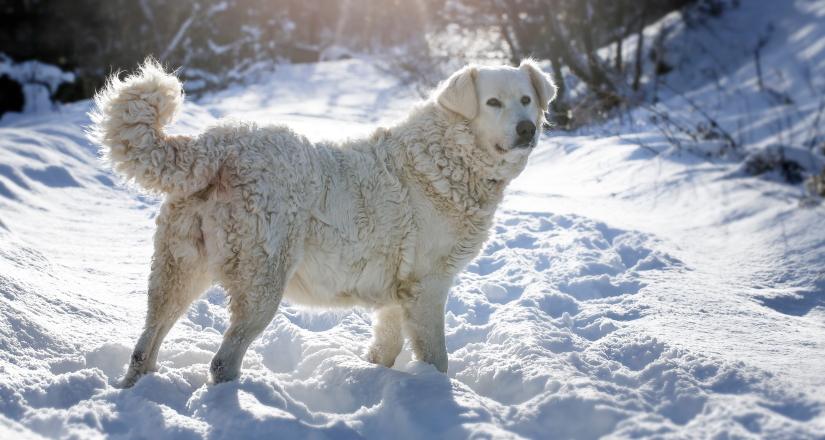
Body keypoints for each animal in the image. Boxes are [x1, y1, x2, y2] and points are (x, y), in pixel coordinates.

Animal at [90, 59, 552, 388]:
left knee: (145, 346)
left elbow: (386, 346)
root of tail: (217, 143)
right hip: (262, 285)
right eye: (492, 103)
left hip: (178, 271)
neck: (450, 156)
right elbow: (436, 356)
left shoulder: (396, 293)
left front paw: (376, 375)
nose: (527, 129)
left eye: (526, 99)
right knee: (222, 361)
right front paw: (436, 396)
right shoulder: (428, 286)